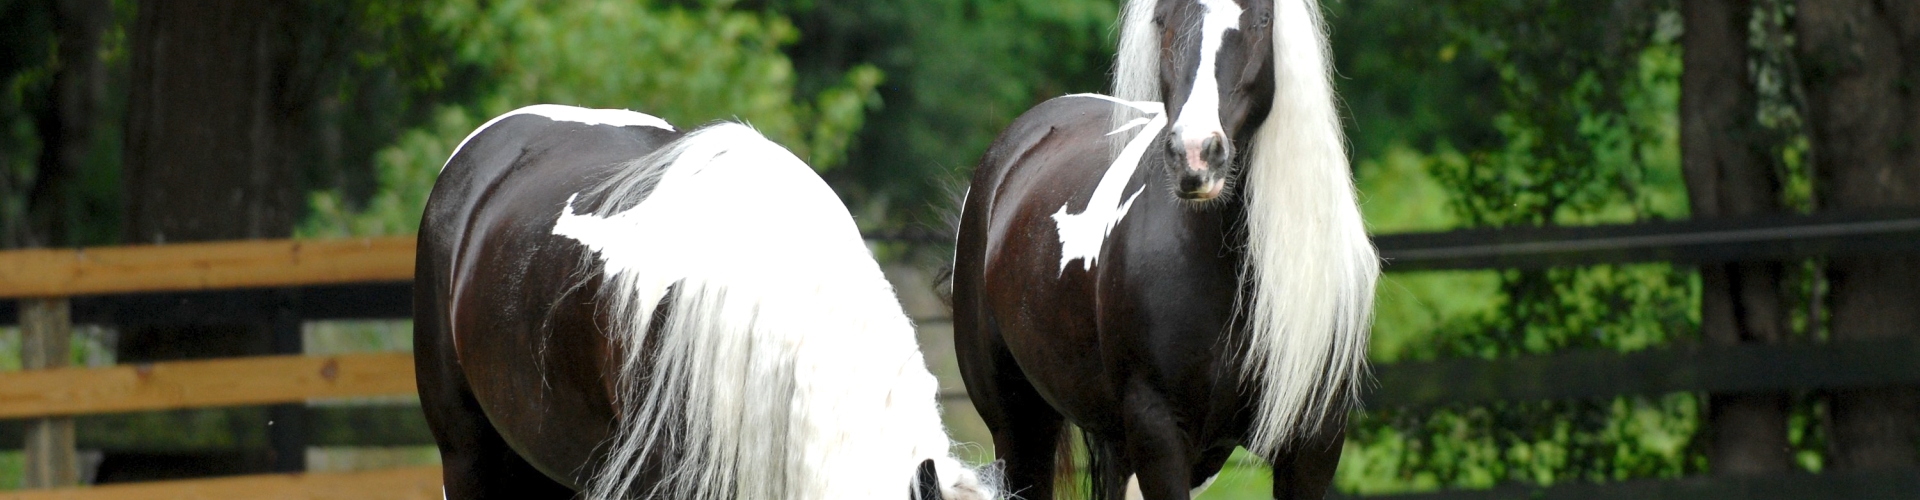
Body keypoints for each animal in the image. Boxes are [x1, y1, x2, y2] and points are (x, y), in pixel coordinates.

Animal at [950, 0, 1377, 498]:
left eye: (1262, 20)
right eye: (1163, 19)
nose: (1195, 156)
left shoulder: (1314, 442)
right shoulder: (1158, 431)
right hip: (1020, 426)